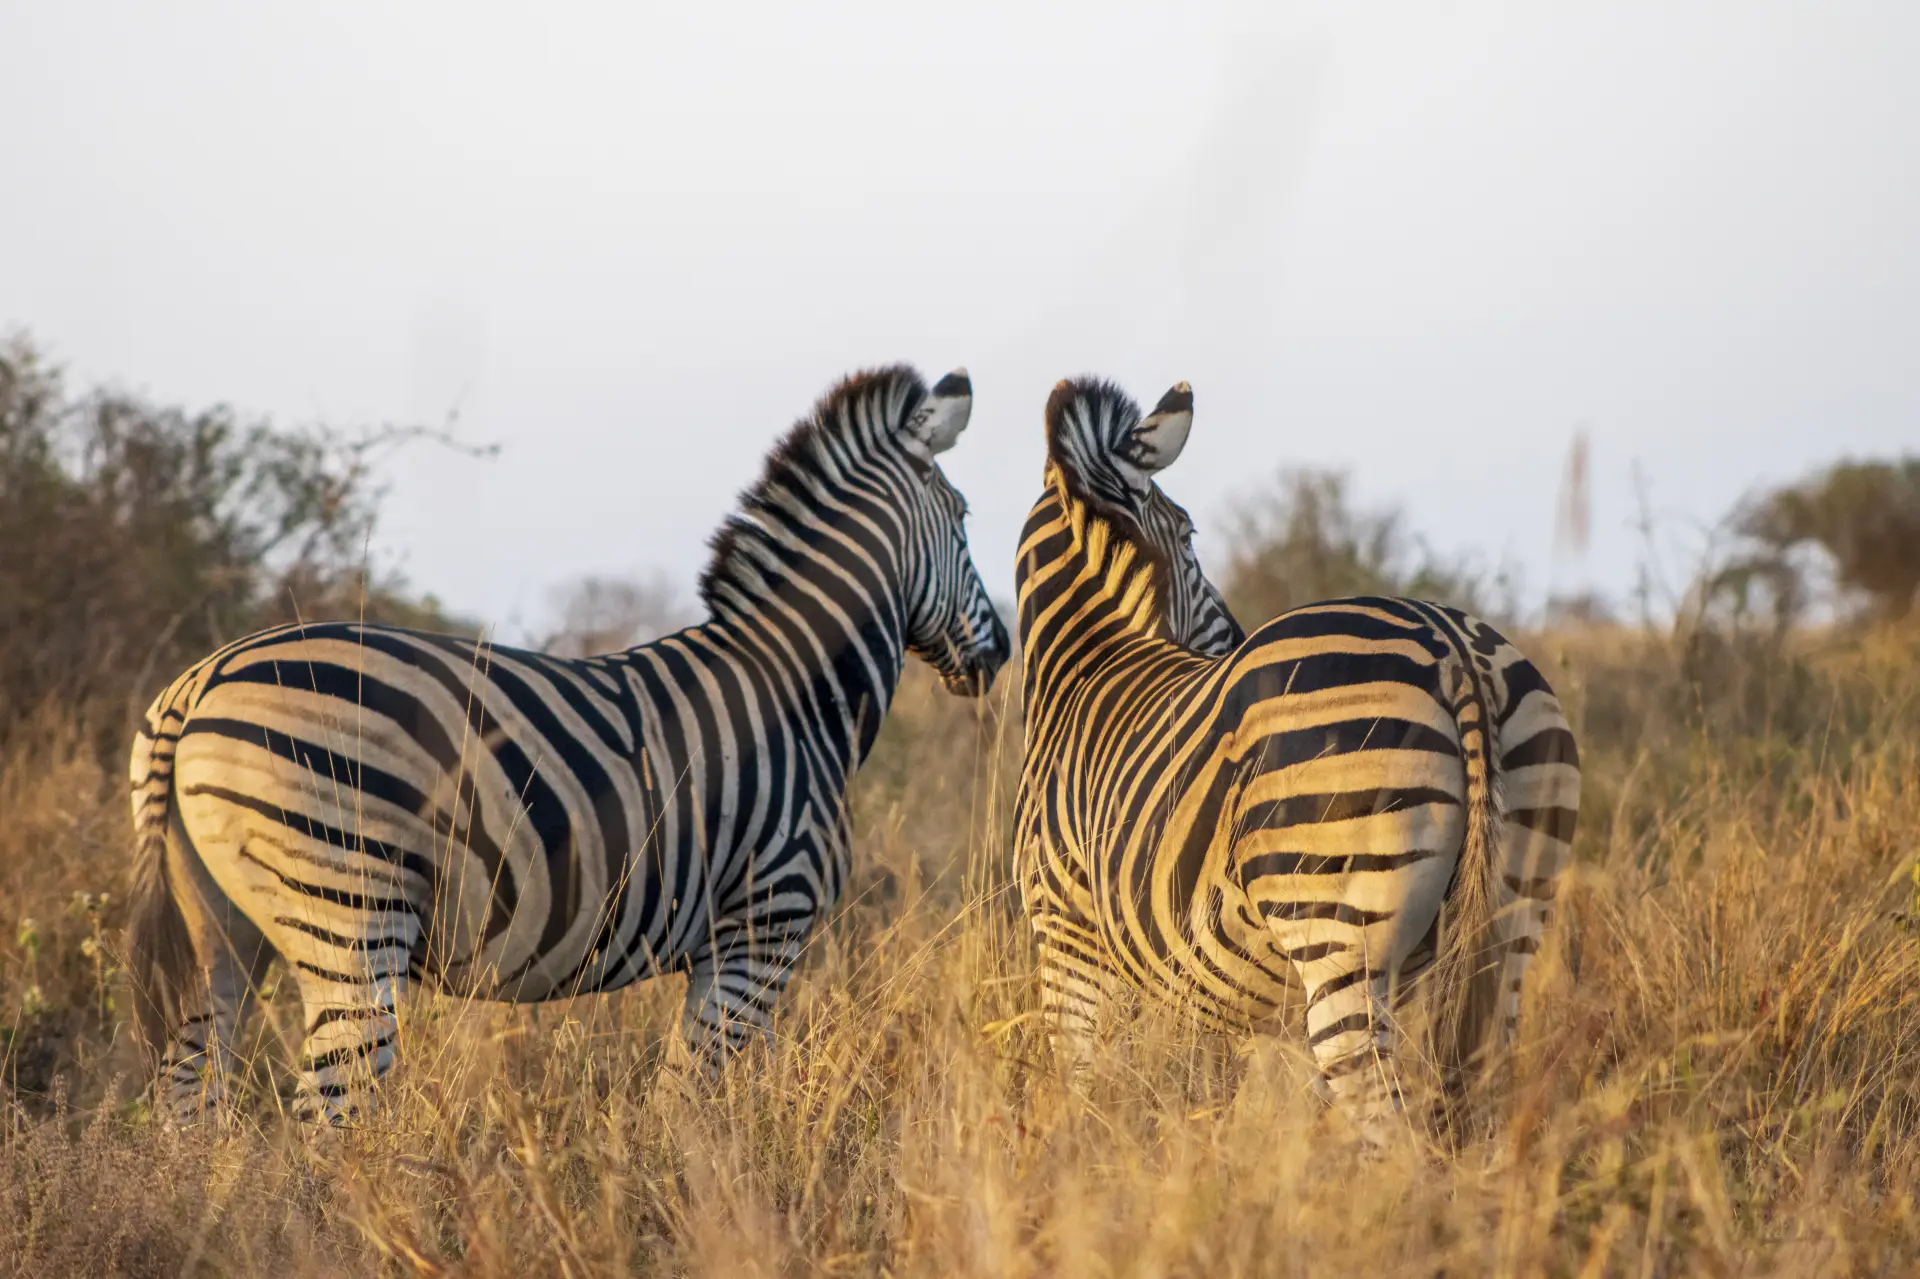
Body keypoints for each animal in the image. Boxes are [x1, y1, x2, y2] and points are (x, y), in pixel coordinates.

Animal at [127, 363, 1010, 1123]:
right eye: (965, 519)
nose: (999, 651)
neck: (797, 686)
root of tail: (200, 680)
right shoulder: (762, 927)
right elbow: (694, 1106)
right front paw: (700, 1195)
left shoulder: (730, 942)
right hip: (350, 913)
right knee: (326, 1110)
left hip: (223, 935)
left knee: (190, 1093)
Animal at [1013, 376, 1580, 1144]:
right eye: (1189, 536)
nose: (1232, 635)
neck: (1086, 663)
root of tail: (1450, 644)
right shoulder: (1254, 1002)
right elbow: (1257, 1114)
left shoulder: (1065, 933)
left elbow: (1087, 1087)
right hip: (1510, 918)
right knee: (1479, 1095)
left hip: (1340, 932)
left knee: (1389, 1130)